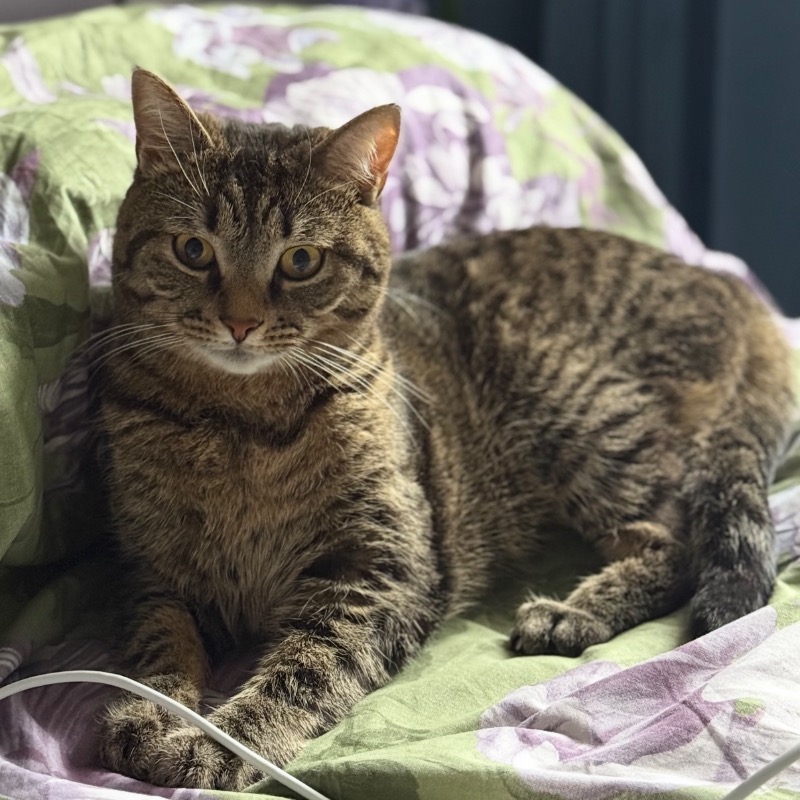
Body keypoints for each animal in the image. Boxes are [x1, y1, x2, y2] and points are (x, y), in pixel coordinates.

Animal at [95, 68, 795, 790]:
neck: (240, 422)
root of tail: (727, 287)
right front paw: (148, 714)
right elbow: (156, 649)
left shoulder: (381, 573)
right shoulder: (151, 572)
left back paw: (571, 612)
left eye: (301, 261)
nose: (240, 323)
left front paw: (221, 743)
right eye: (192, 250)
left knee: (677, 542)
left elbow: (304, 672)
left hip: (578, 413)